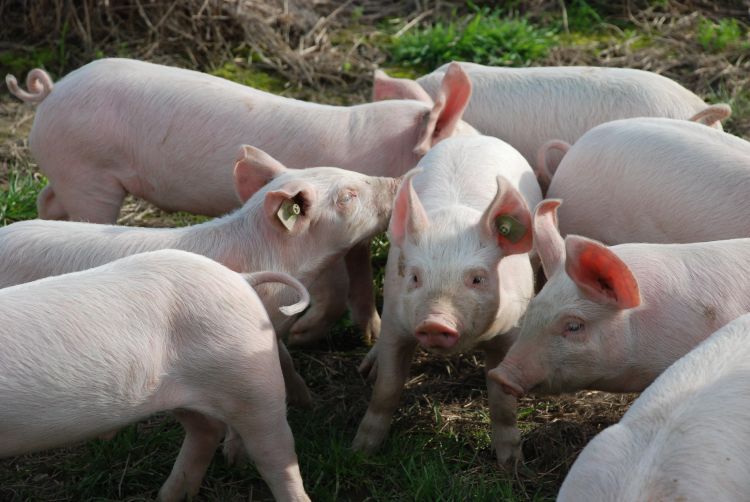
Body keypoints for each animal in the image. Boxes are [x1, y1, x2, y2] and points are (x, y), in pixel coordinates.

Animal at [0, 249, 311, 502]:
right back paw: (168, 497)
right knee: (207, 430)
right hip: (189, 395)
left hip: (251, 382)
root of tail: (241, 278)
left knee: (277, 456)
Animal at [6, 59, 474, 345]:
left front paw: (369, 335)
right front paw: (303, 336)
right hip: (89, 175)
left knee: (48, 197)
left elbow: (359, 280)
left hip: (70, 173)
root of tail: (49, 92)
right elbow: (338, 284)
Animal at [352, 135, 542, 464]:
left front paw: (512, 464)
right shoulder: (395, 319)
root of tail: (474, 137)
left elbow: (502, 401)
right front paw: (360, 452)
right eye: (415, 277)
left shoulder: (510, 331)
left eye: (477, 279)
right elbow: (386, 387)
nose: (435, 322)